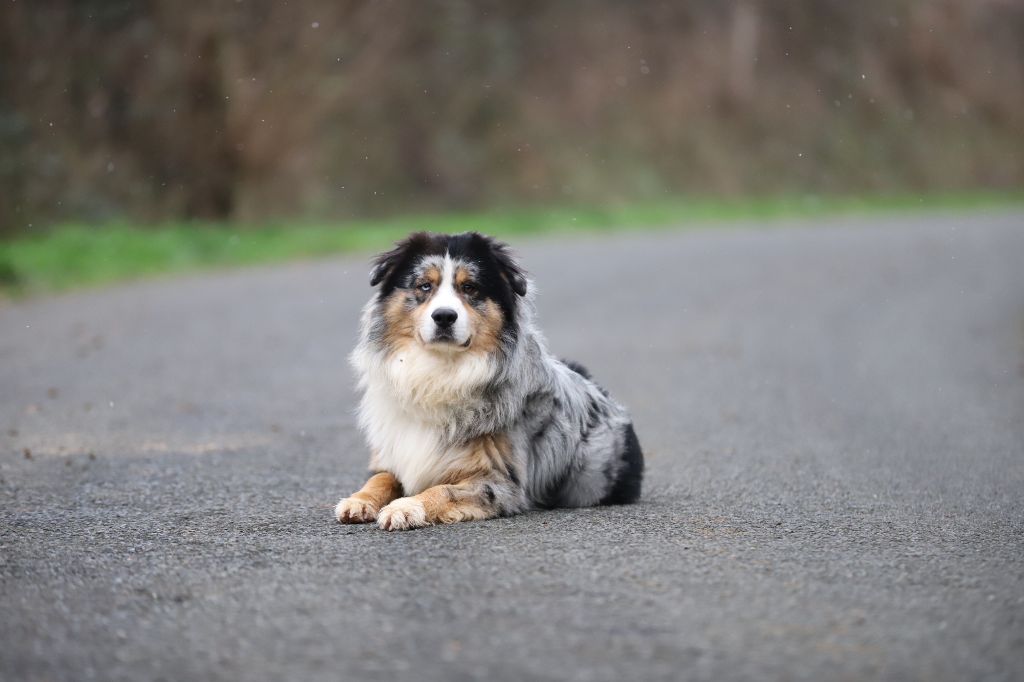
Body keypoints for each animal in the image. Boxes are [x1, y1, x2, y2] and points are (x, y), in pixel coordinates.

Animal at [333, 231, 638, 528]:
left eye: (469, 287)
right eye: (424, 286)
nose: (444, 316)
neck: (440, 373)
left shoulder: (500, 482)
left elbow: (443, 490)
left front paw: (406, 507)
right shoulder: (393, 455)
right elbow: (380, 478)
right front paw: (358, 500)